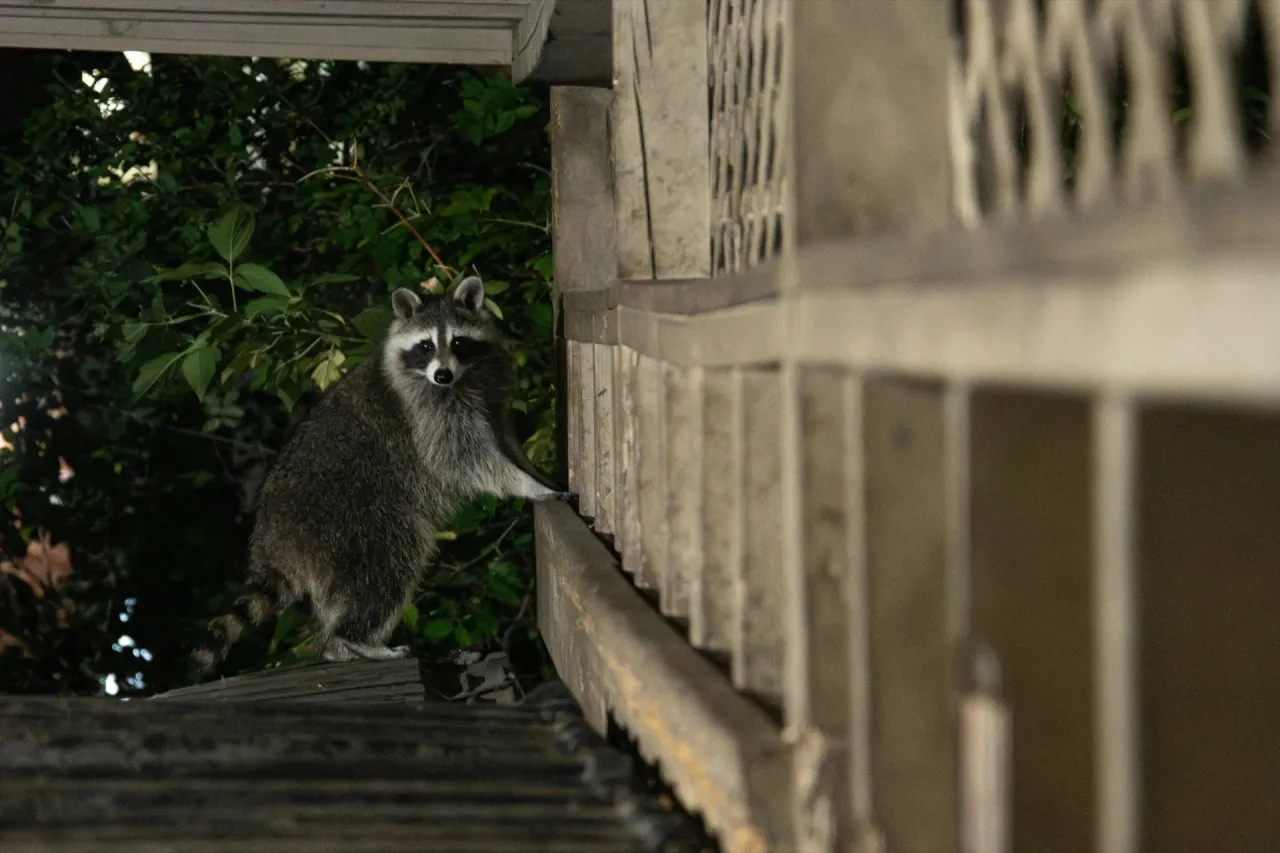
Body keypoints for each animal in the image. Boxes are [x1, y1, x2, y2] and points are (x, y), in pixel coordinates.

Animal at [192, 275, 569, 672]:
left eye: (459, 342)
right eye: (425, 346)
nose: (442, 374)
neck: (461, 380)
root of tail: (272, 541)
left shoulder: (489, 390)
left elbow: (503, 438)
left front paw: (532, 471)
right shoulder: (426, 415)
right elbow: (462, 457)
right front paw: (525, 484)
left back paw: (340, 646)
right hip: (350, 523)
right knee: (385, 568)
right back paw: (352, 639)